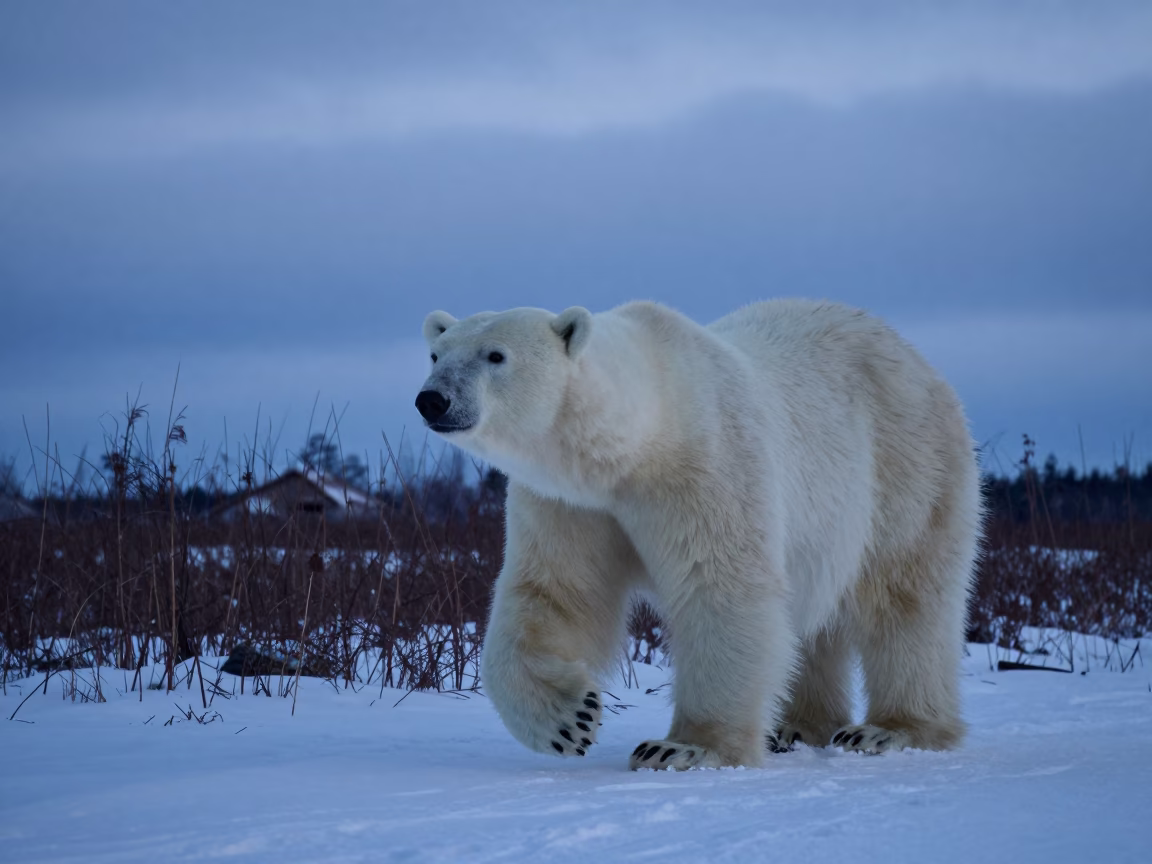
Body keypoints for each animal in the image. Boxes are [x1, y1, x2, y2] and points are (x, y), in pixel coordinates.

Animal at [415, 299, 982, 770]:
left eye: (495, 355)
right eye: (436, 354)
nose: (432, 400)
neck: (640, 437)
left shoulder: (706, 465)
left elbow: (720, 590)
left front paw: (684, 747)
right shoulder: (571, 504)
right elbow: (556, 591)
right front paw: (569, 719)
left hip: (907, 463)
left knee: (905, 596)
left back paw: (891, 729)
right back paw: (798, 727)